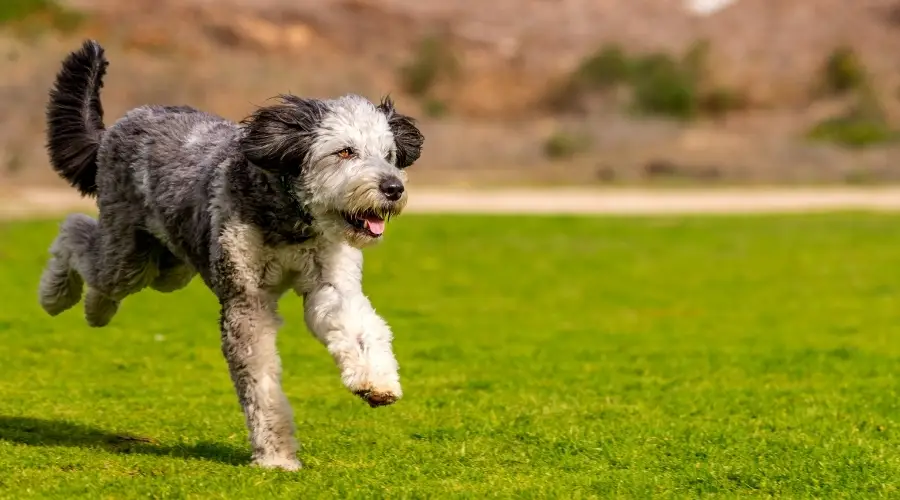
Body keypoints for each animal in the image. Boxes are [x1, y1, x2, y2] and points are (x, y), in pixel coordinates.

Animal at [38, 41, 426, 470]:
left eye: (389, 154)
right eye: (345, 152)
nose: (393, 188)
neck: (290, 219)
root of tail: (114, 130)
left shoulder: (331, 285)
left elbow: (360, 327)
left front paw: (377, 382)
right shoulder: (246, 302)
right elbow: (261, 384)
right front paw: (276, 455)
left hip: (169, 267)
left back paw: (95, 308)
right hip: (129, 255)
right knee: (75, 232)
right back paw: (60, 297)